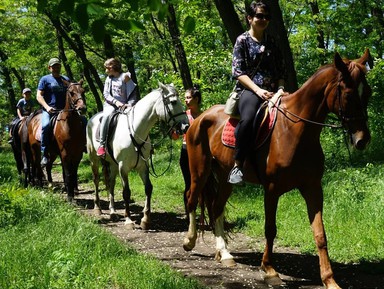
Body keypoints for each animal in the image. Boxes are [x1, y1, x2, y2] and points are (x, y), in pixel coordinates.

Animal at [87, 82, 189, 228]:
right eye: (174, 102)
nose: (186, 126)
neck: (135, 131)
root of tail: (92, 119)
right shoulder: (123, 167)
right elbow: (126, 192)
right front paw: (129, 220)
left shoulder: (143, 166)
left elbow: (148, 188)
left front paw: (145, 220)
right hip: (94, 159)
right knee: (96, 180)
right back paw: (98, 208)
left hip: (112, 164)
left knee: (110, 183)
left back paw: (112, 212)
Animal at [183, 49, 372, 288]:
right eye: (348, 94)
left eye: (368, 93)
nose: (362, 140)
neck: (296, 130)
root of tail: (199, 118)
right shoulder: (272, 190)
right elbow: (270, 229)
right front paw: (270, 270)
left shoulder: (313, 188)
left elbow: (320, 234)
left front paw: (329, 280)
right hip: (199, 171)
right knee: (191, 199)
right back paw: (189, 241)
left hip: (225, 178)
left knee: (216, 208)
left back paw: (224, 254)